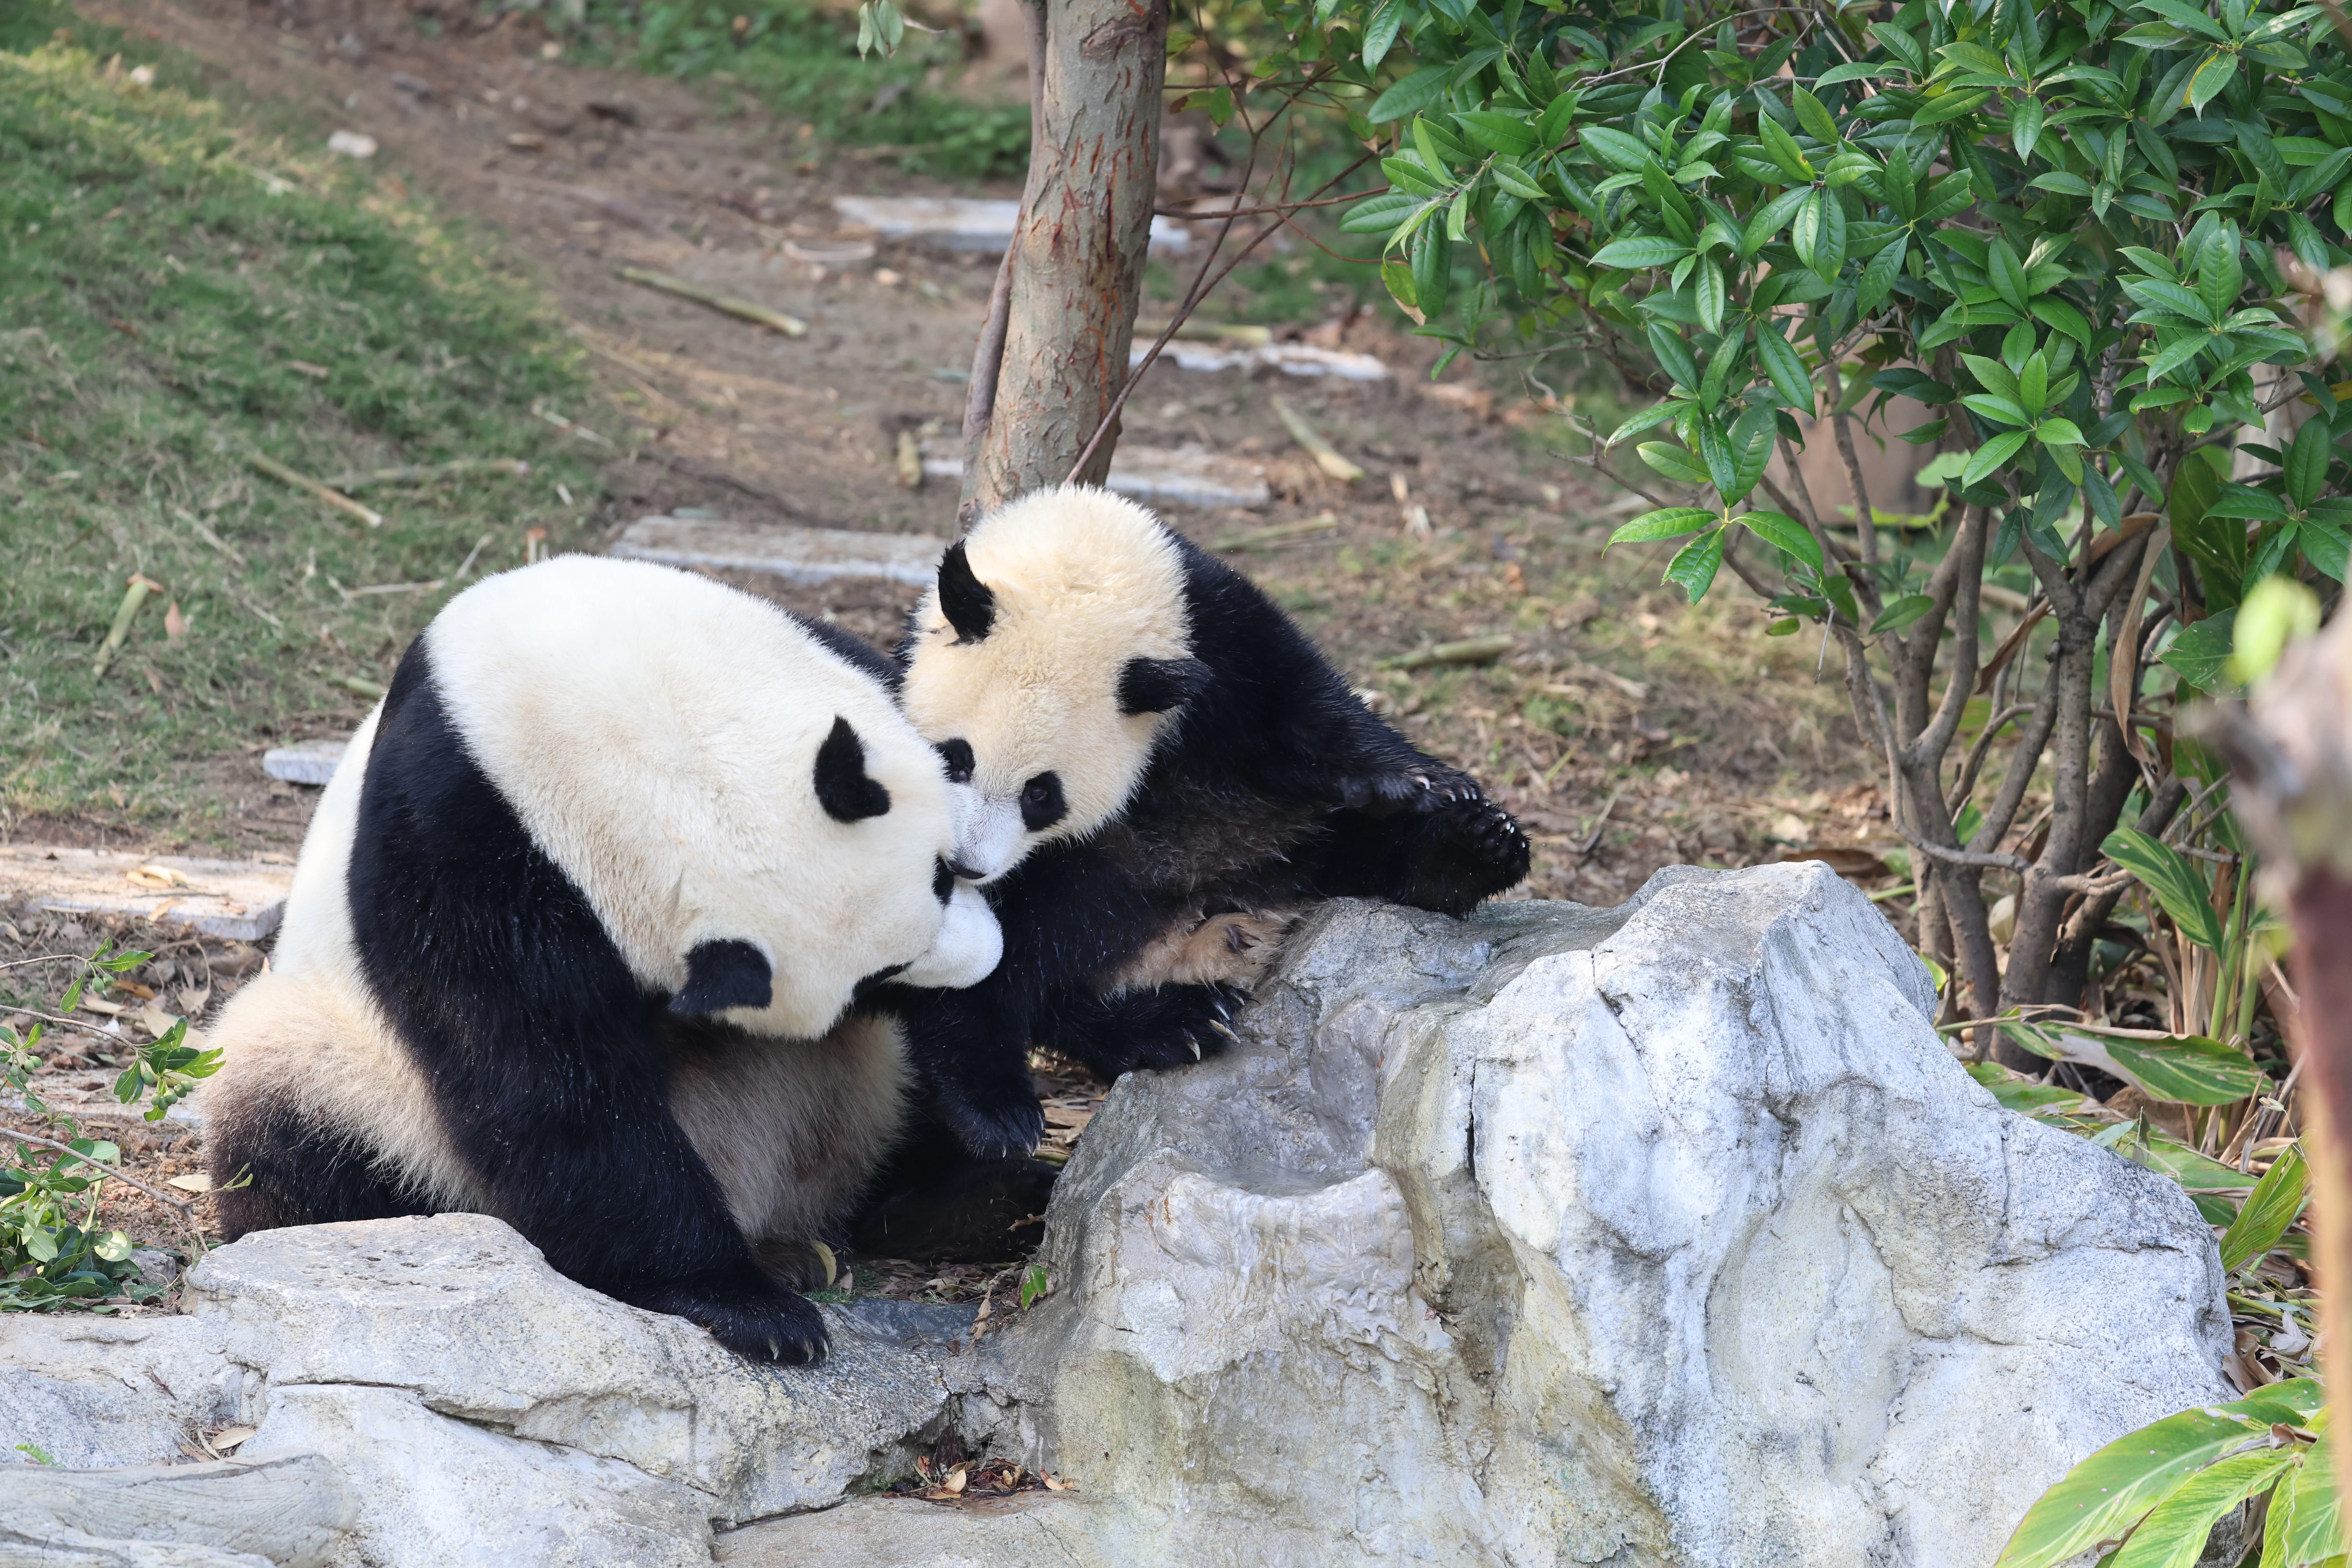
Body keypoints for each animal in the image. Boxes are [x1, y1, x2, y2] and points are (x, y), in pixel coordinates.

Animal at [202, 556, 1002, 1364]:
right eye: (875, 978)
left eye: (944, 873)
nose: (982, 962)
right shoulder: (459, 840)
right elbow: (547, 1080)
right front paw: (747, 1305)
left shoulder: (831, 658)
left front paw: (988, 1100)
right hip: (366, 1081)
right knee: (291, 1118)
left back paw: (951, 1198)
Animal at [882, 485, 1531, 1160]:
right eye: (956, 757)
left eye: (1041, 795)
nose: (967, 864)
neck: (1085, 571)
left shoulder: (1223, 631)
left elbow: (1315, 715)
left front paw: (1421, 782)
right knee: (1026, 974)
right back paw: (1118, 1049)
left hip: (1296, 842)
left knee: (1369, 851)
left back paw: (1474, 848)